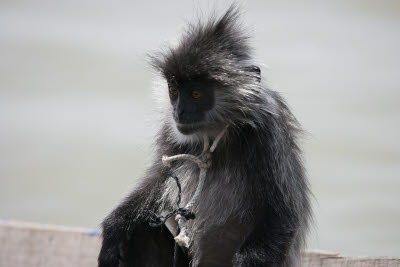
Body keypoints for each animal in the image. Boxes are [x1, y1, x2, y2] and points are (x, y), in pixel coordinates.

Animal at [97, 4, 312, 267]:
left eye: (196, 94)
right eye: (174, 91)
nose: (179, 111)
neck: (214, 133)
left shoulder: (266, 133)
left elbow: (281, 217)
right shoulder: (171, 130)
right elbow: (157, 183)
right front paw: (114, 227)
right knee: (142, 228)